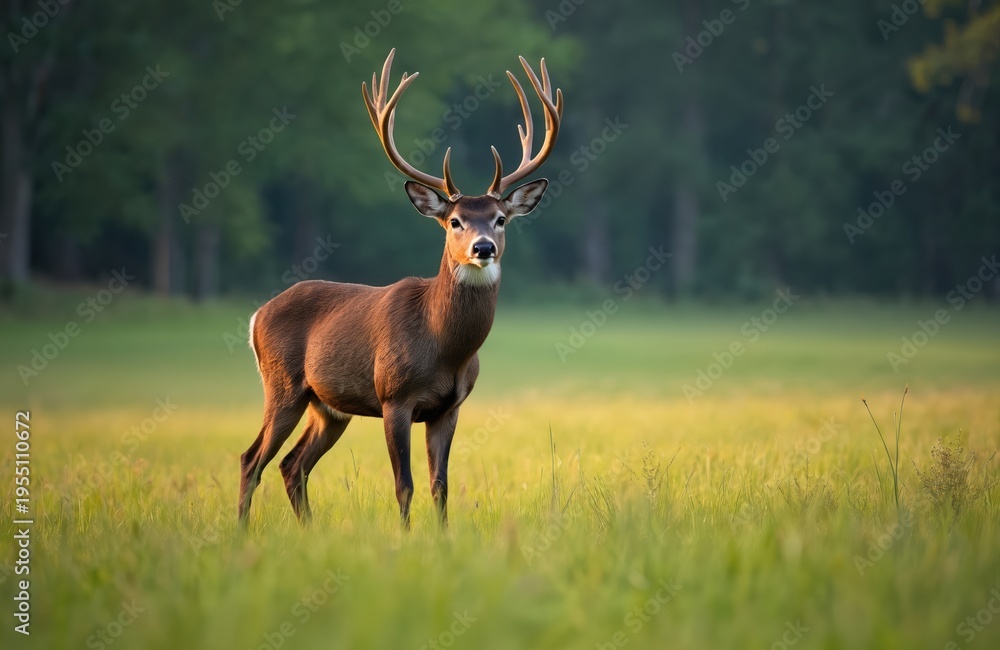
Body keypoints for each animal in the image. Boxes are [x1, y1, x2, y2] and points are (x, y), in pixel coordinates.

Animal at [238, 49, 562, 529]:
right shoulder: (394, 397)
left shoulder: (449, 407)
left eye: (501, 219)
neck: (444, 346)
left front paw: (443, 538)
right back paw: (241, 532)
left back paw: (307, 530)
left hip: (329, 407)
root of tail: (257, 315)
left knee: (291, 463)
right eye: (454, 221)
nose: (483, 247)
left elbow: (439, 485)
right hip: (283, 385)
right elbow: (404, 485)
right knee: (252, 459)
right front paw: (406, 538)